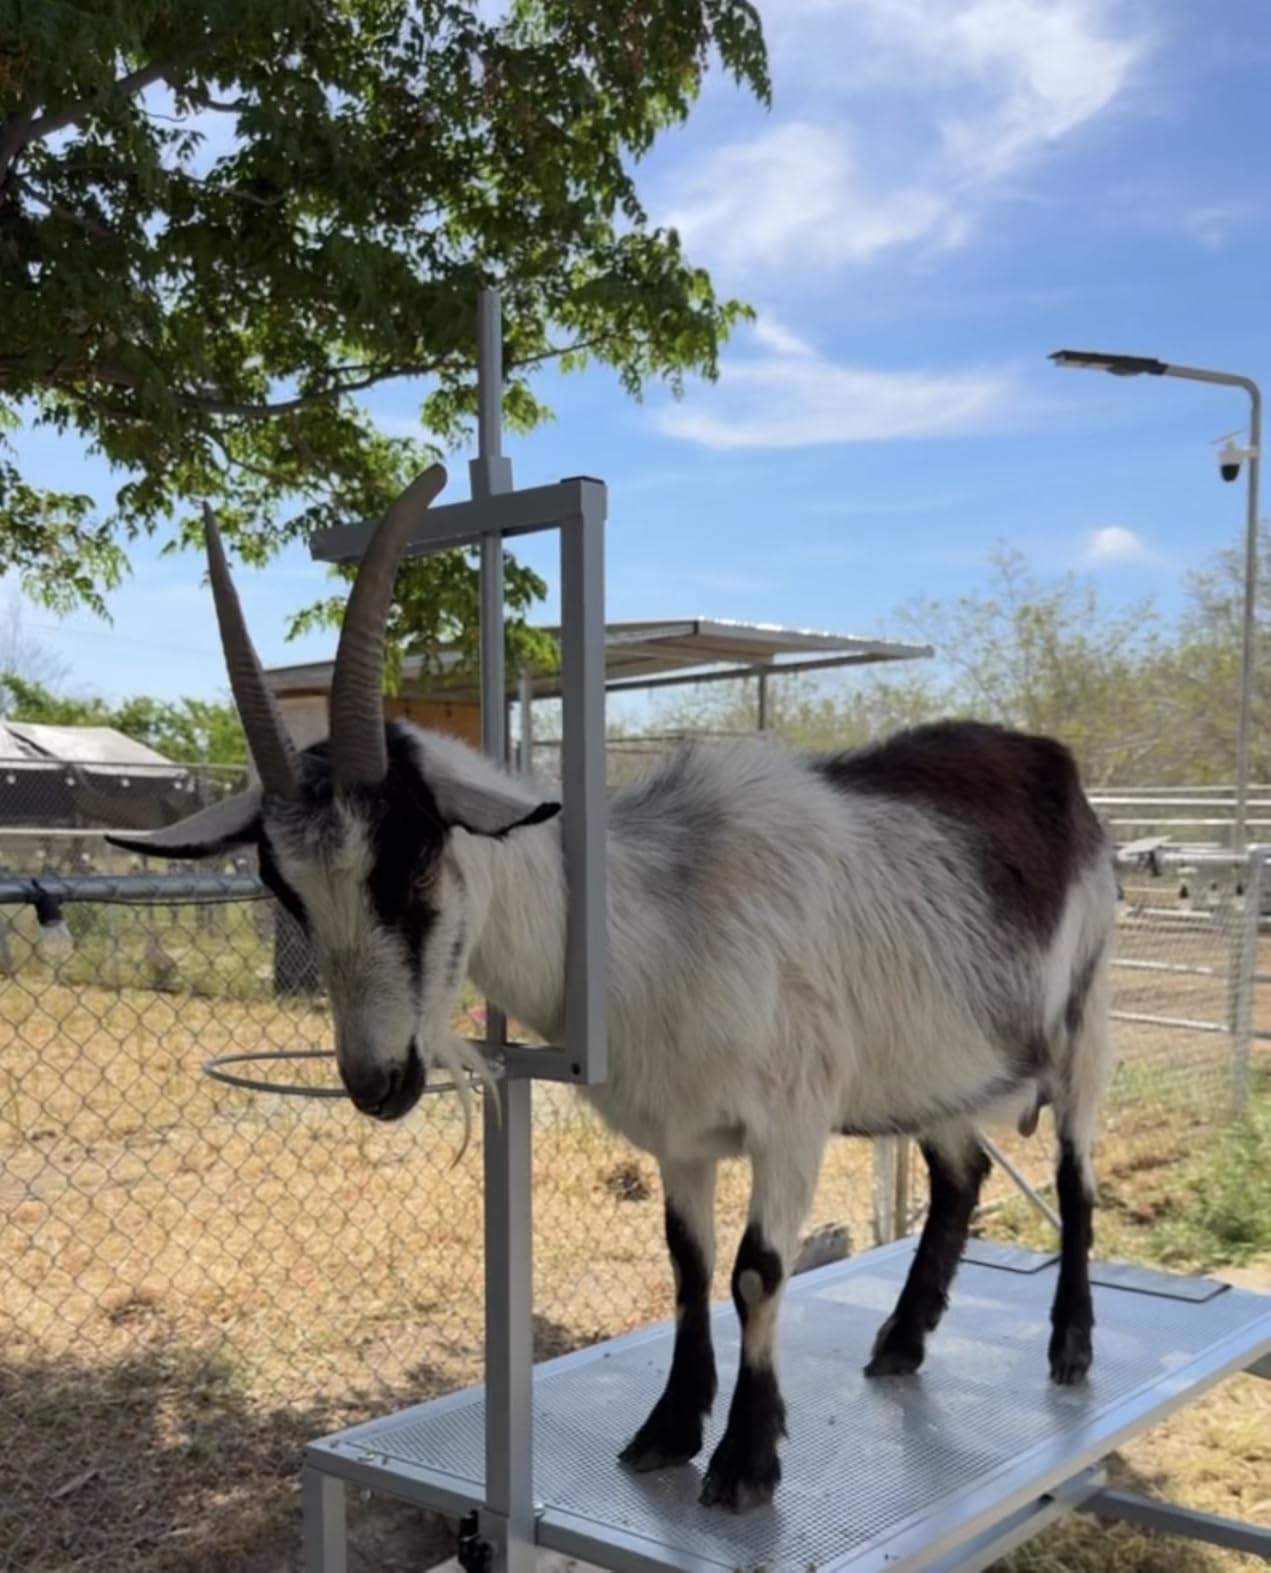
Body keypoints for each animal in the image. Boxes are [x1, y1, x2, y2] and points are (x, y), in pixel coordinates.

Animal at [111, 466, 1117, 1514]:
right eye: (282, 884)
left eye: (414, 851)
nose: (376, 1079)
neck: (652, 920)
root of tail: (1057, 769)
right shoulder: (679, 1131)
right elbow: (686, 1263)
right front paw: (669, 1429)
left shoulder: (792, 1119)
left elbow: (756, 1272)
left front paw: (745, 1461)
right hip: (935, 1064)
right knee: (959, 1173)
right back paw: (899, 1342)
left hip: (1085, 1022)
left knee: (1076, 1176)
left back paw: (1068, 1346)